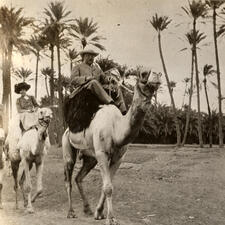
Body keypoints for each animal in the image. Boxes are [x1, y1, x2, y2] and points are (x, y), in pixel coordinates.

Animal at [62, 69, 161, 224]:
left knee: (79, 177)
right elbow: (108, 187)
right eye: (144, 74)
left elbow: (107, 185)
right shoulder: (102, 153)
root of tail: (66, 130)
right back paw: (71, 212)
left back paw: (87, 209)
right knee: (68, 178)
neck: (116, 128)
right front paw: (111, 218)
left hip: (90, 158)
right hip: (67, 145)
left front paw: (99, 213)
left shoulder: (118, 158)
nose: (157, 75)